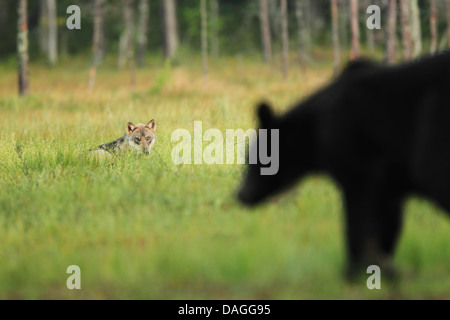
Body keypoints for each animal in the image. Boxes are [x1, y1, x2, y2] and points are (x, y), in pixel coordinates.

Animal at [237, 52, 450, 278]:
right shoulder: (388, 181)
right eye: (248, 158)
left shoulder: (358, 166)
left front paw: (354, 270)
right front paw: (383, 267)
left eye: (256, 159)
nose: (242, 194)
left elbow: (358, 220)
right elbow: (388, 221)